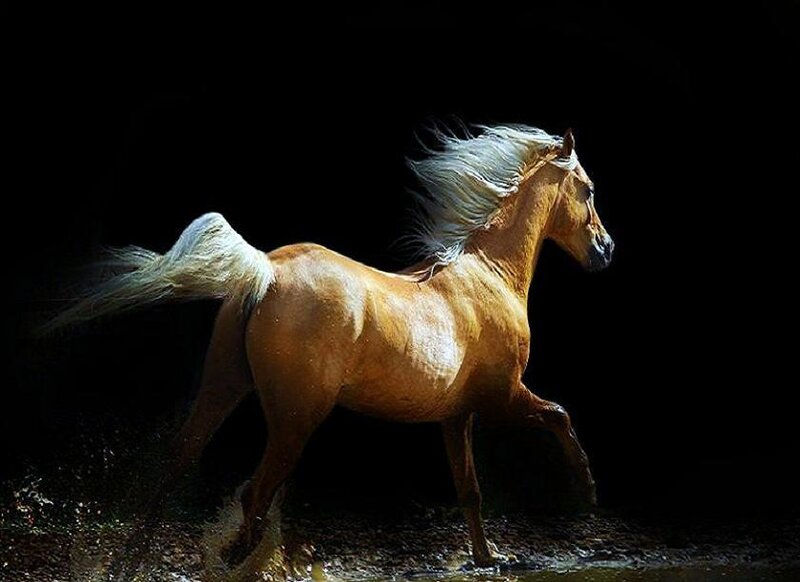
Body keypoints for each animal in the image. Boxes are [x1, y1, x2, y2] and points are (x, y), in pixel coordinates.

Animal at [47, 124, 613, 570]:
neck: (488, 274)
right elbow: (560, 415)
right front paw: (587, 492)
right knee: (255, 492)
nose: (605, 250)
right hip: (297, 417)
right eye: (587, 190)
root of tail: (266, 271)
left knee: (176, 468)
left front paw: (487, 556)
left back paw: (131, 562)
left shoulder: (457, 416)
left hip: (223, 388)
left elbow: (469, 490)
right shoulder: (503, 395)